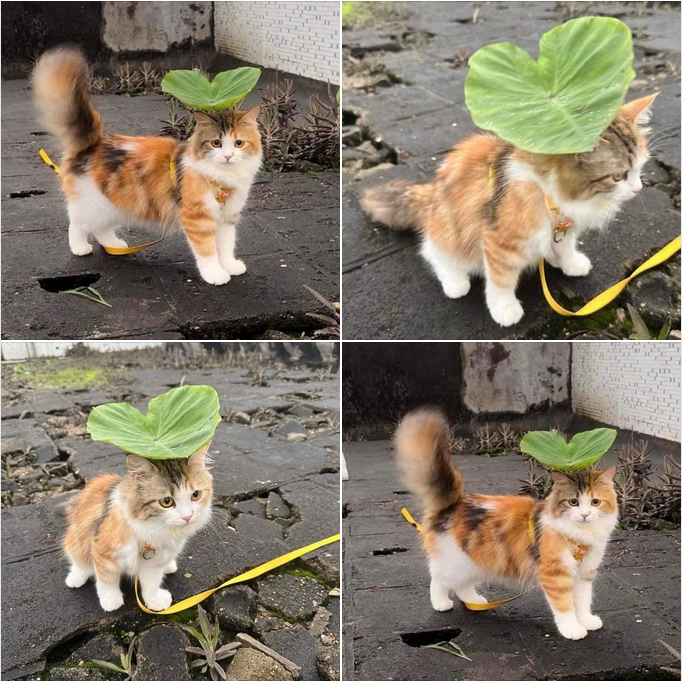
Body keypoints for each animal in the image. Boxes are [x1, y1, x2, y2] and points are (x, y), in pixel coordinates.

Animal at [31, 45, 260, 284]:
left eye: (239, 143)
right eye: (216, 143)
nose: (228, 156)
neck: (223, 179)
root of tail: (92, 145)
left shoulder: (227, 217)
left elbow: (225, 246)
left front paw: (230, 265)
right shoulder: (197, 218)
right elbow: (207, 250)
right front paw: (215, 274)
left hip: (116, 204)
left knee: (101, 229)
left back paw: (114, 245)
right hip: (95, 204)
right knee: (76, 222)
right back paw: (79, 247)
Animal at [63, 440, 212, 612]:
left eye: (196, 495)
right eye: (166, 501)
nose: (187, 516)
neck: (152, 529)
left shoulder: (154, 562)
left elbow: (151, 584)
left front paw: (154, 601)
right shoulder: (102, 553)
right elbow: (107, 580)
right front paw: (111, 600)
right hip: (76, 539)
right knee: (79, 561)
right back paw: (76, 577)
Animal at [364, 95, 656, 326]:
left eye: (641, 168)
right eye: (618, 176)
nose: (639, 189)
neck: (548, 194)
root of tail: (431, 194)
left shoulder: (564, 225)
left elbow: (564, 246)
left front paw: (569, 262)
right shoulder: (498, 243)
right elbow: (501, 282)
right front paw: (504, 309)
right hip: (449, 234)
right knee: (433, 252)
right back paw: (455, 282)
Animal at [394, 410, 616, 636]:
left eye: (595, 502)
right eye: (573, 502)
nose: (585, 514)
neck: (581, 537)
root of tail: (453, 503)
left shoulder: (584, 574)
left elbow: (583, 602)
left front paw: (586, 621)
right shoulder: (555, 575)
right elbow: (565, 607)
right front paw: (572, 630)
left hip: (476, 561)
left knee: (461, 585)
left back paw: (474, 601)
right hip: (456, 561)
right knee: (437, 579)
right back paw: (441, 603)